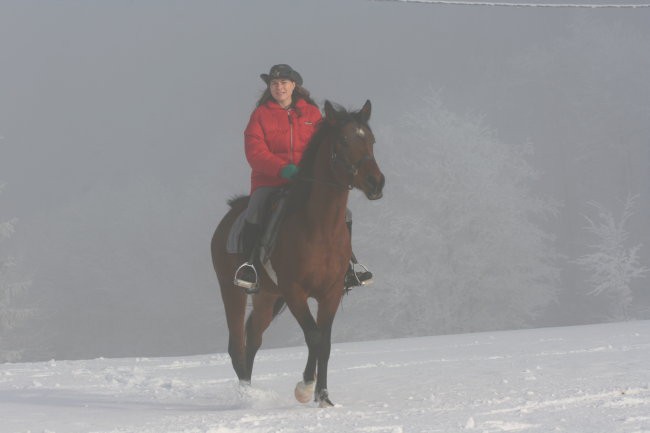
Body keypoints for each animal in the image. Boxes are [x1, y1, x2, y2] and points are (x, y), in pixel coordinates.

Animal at [211, 98, 384, 404]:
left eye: (371, 140)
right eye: (343, 140)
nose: (376, 182)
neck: (320, 227)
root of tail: (229, 216)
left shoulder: (330, 293)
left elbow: (325, 342)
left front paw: (323, 397)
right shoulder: (294, 291)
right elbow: (313, 336)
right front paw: (305, 388)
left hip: (268, 297)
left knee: (253, 338)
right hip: (232, 291)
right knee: (237, 345)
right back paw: (246, 395)